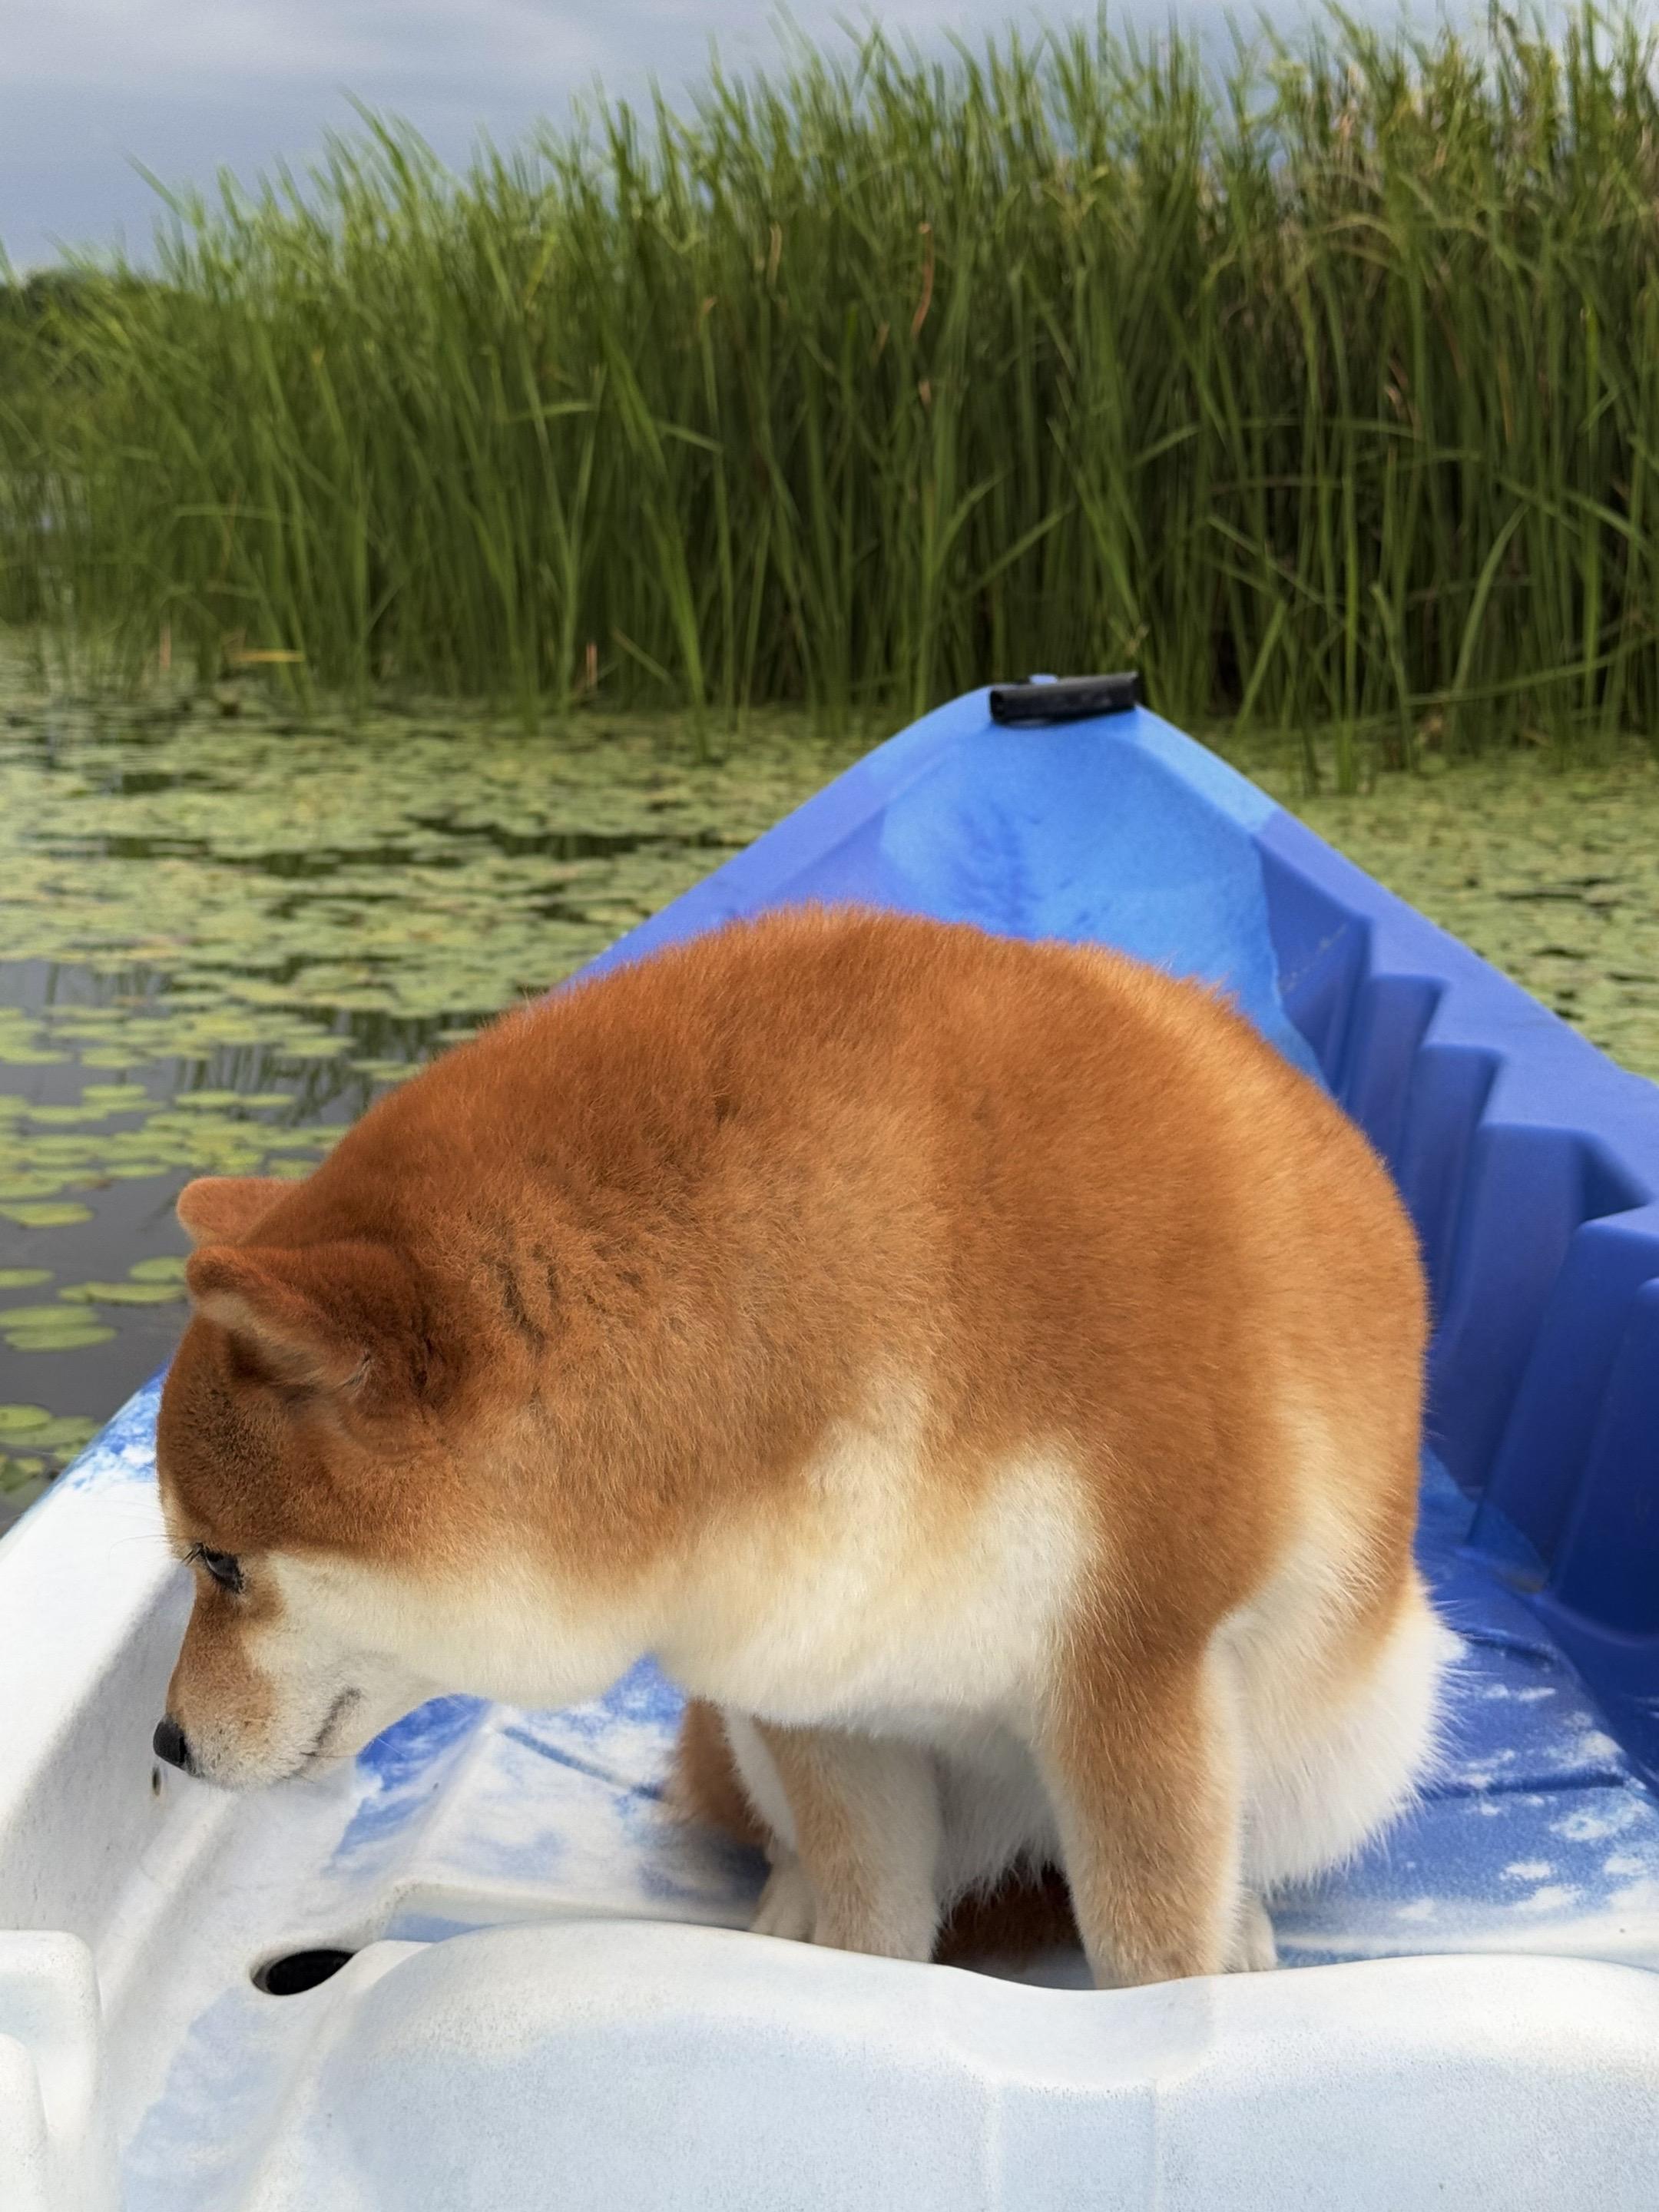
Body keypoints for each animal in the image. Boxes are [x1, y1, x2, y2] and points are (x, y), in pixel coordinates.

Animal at [153, 905, 1449, 1987]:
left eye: (219, 1562)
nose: (165, 1744)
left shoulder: (1137, 1673)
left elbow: (1152, 1949)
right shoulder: (815, 1678)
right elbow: (871, 1917)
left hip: (1353, 1735)